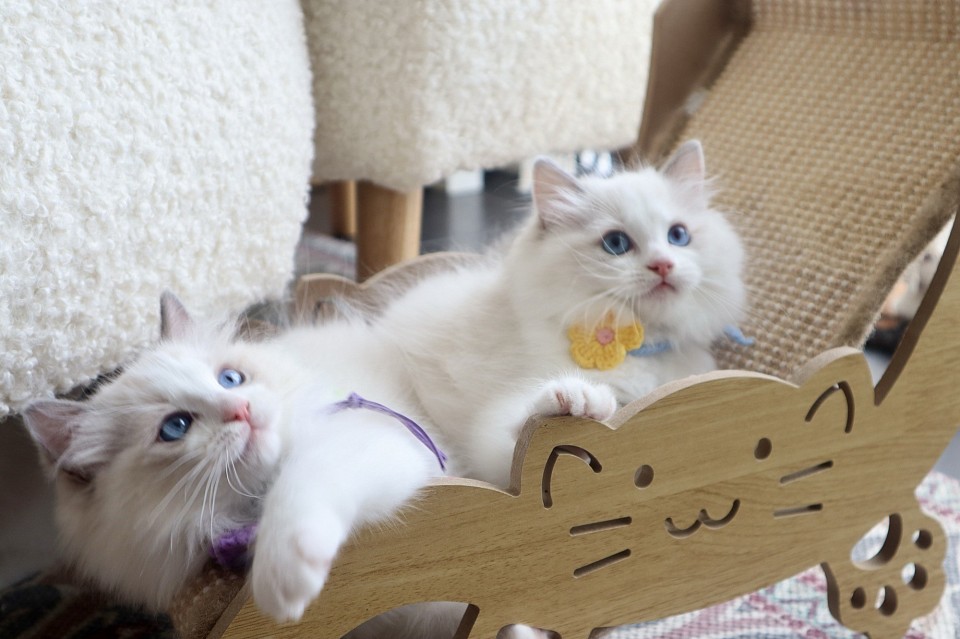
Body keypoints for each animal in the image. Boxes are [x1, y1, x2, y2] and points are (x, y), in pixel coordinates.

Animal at [22, 293, 617, 631]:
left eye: (230, 378)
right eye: (175, 428)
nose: (242, 410)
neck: (247, 511)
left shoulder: (375, 444)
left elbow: (303, 486)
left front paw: (283, 577)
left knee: (517, 443)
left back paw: (575, 400)